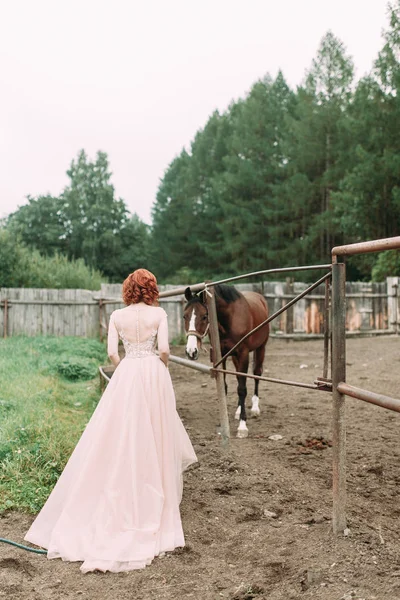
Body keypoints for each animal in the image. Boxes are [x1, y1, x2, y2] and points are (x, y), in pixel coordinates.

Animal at [184, 284, 268, 438]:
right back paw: (238, 411)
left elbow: (242, 389)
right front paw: (223, 421)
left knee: (256, 374)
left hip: (261, 348)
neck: (229, 319)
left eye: (204, 316)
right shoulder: (221, 355)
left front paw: (242, 426)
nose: (191, 351)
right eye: (184, 316)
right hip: (235, 357)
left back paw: (255, 408)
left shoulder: (243, 354)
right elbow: (224, 386)